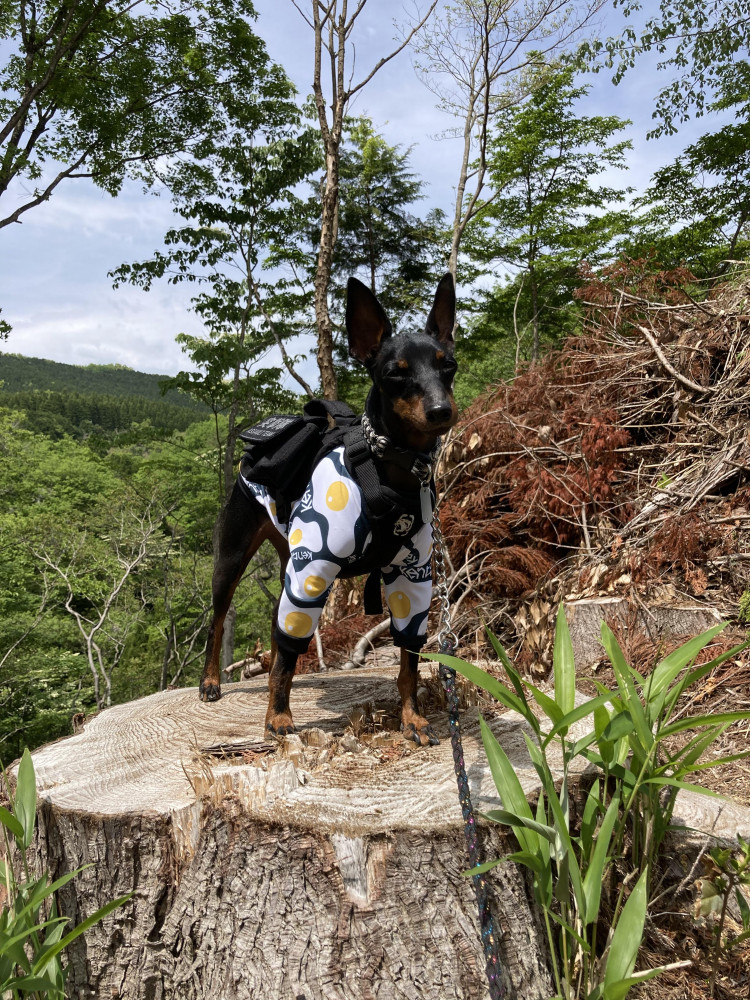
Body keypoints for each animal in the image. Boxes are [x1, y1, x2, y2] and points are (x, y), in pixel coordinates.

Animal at [200, 274, 458, 744]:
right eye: (395, 373)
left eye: (447, 365)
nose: (440, 410)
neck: (390, 469)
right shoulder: (314, 570)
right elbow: (288, 651)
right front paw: (278, 717)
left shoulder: (413, 576)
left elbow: (409, 658)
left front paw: (411, 717)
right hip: (235, 560)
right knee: (219, 622)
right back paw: (210, 682)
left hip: (291, 559)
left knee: (276, 625)